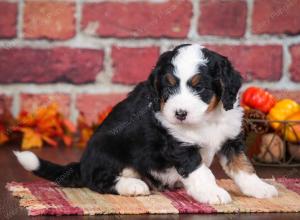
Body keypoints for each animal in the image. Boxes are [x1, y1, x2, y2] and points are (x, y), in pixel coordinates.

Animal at [14, 43, 278, 205]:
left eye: (200, 87)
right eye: (168, 87)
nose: (179, 113)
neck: (207, 119)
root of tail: (81, 164)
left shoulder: (230, 139)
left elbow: (243, 167)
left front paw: (260, 188)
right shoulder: (179, 146)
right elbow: (201, 172)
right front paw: (212, 192)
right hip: (109, 151)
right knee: (98, 180)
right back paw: (133, 186)